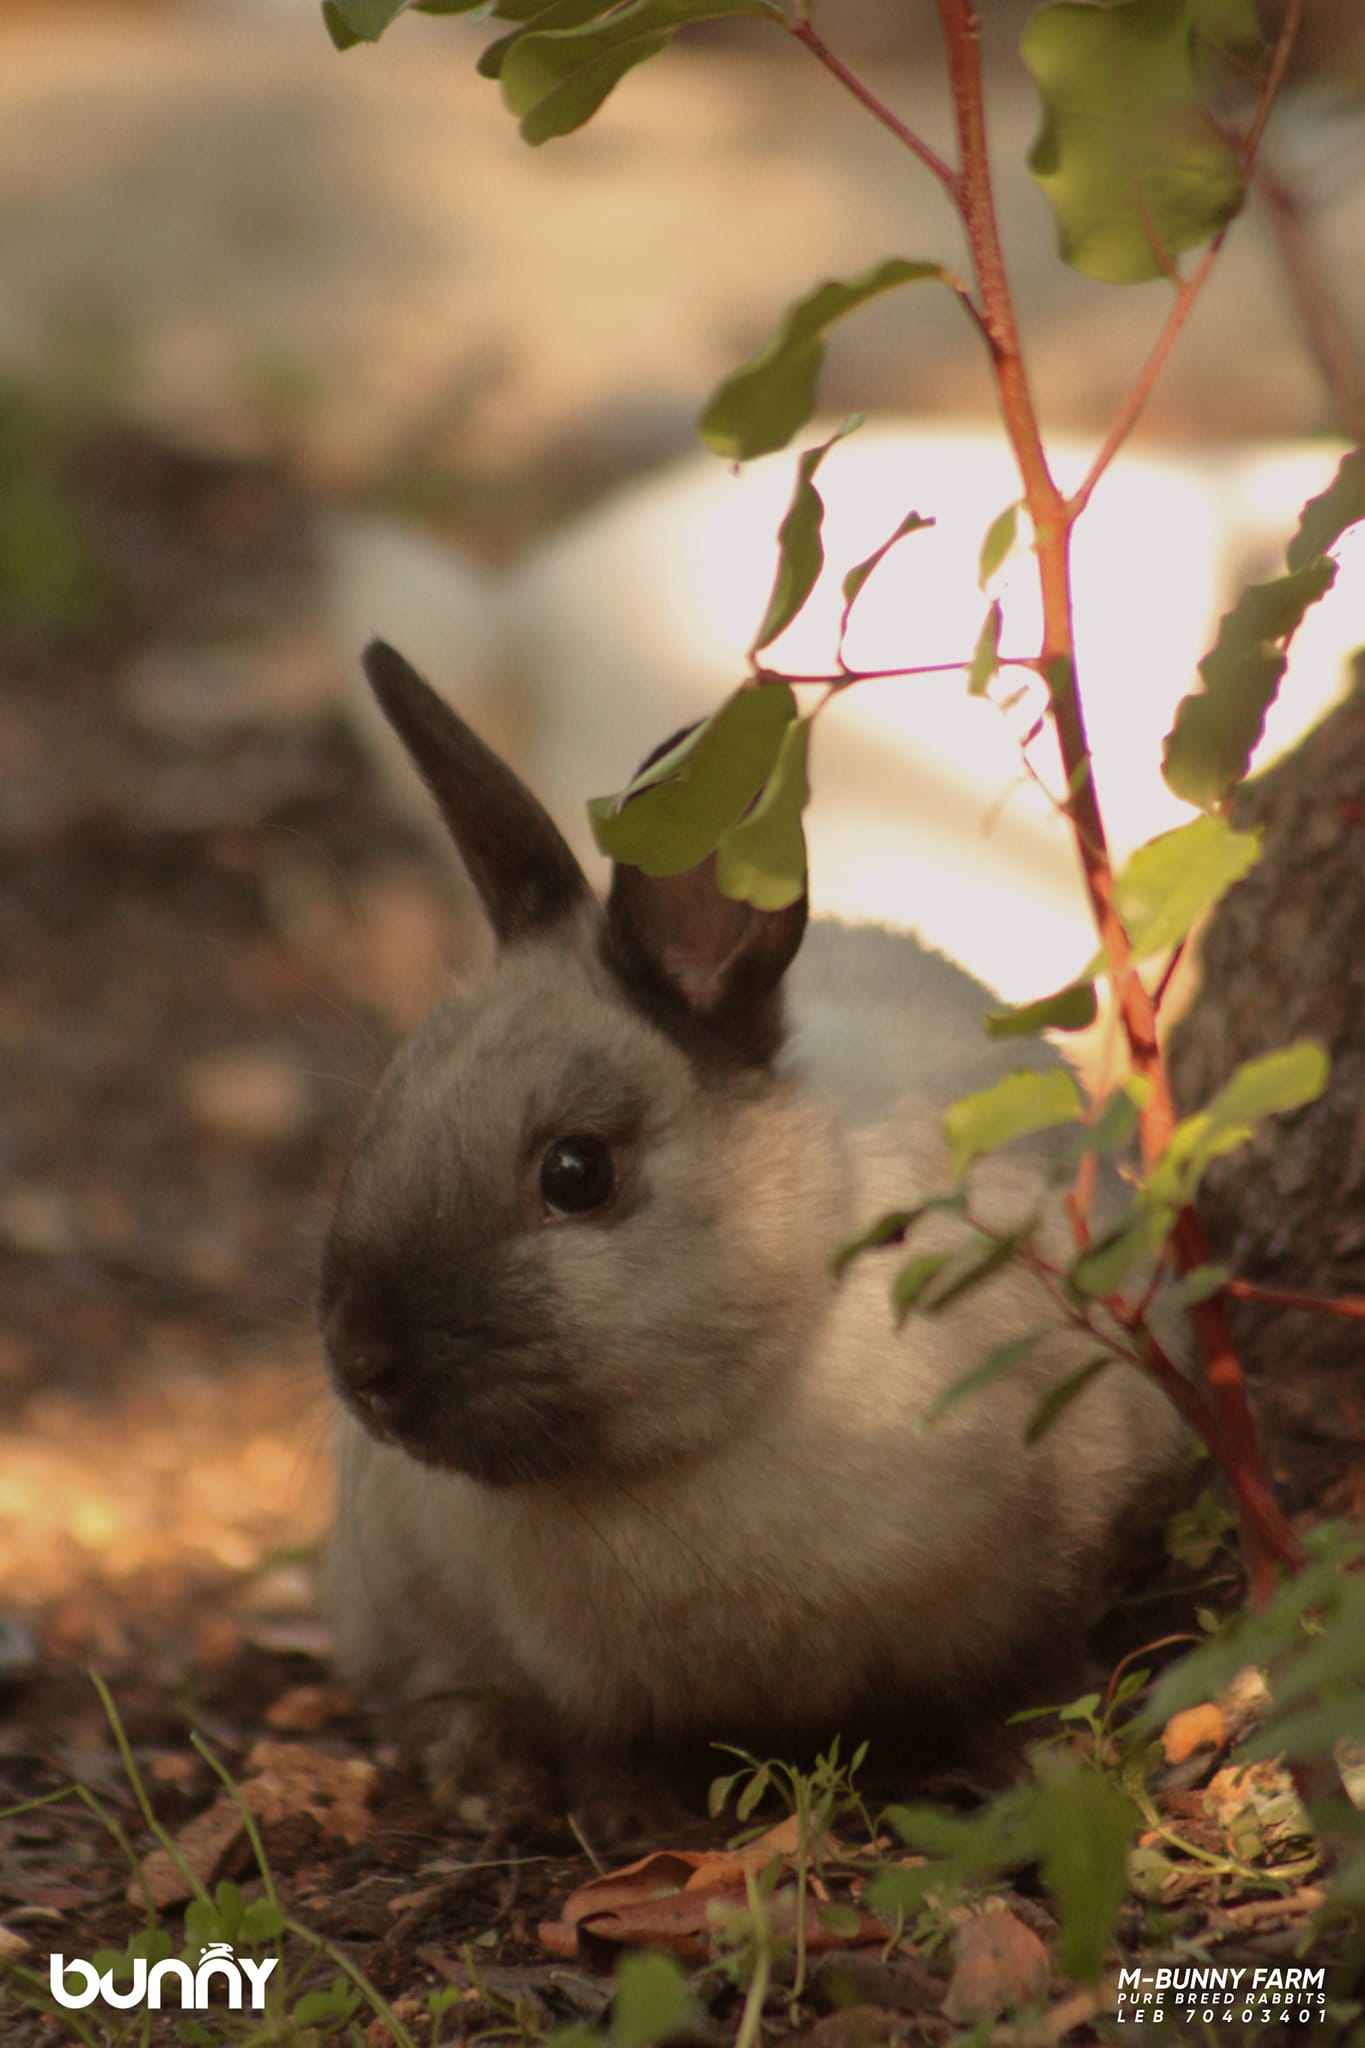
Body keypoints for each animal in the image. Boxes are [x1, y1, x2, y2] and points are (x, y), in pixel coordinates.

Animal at [322, 639, 1184, 1829]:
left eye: (576, 1172)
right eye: (386, 1108)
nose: (364, 1369)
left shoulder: (1052, 1564)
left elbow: (1022, 1671)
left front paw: (1040, 1764)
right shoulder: (567, 1676)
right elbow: (604, 1740)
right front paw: (626, 1816)